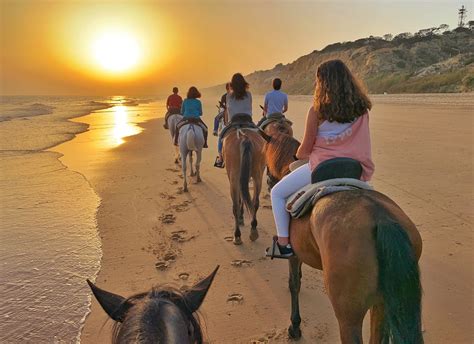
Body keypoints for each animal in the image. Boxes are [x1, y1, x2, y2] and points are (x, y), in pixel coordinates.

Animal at [262, 132, 422, 344]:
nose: (268, 181)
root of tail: (381, 217)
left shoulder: (294, 255)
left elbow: (294, 283)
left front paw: (295, 327)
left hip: (349, 317)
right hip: (381, 304)